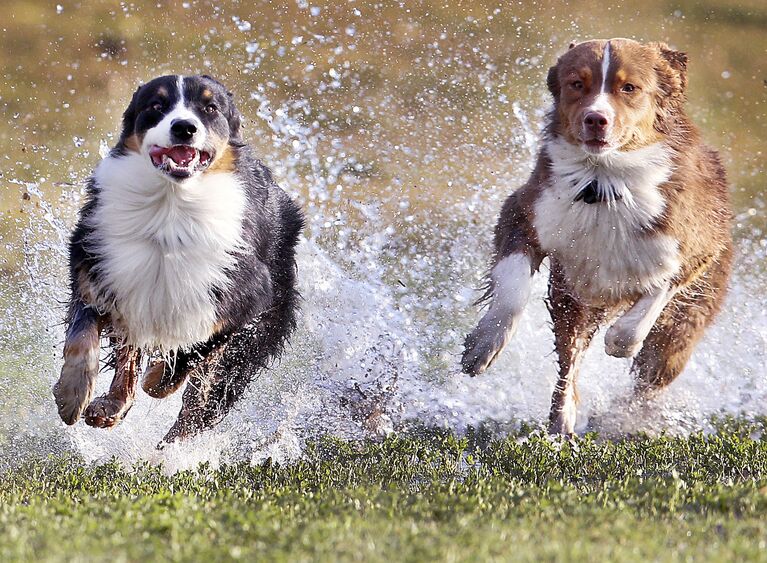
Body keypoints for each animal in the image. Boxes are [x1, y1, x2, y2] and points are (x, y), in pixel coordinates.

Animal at [50, 76, 304, 446]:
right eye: (156, 105)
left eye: (210, 108)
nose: (184, 127)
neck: (170, 208)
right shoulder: (98, 268)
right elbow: (82, 337)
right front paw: (71, 396)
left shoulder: (245, 298)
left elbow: (194, 350)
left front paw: (158, 379)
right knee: (129, 359)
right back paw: (108, 408)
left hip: (253, 338)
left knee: (200, 405)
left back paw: (166, 446)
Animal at [460, 38, 736, 436]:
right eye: (577, 83)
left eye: (629, 88)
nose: (596, 119)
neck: (602, 181)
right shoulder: (526, 213)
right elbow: (512, 289)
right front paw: (483, 346)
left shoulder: (694, 247)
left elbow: (649, 301)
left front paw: (619, 338)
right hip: (568, 299)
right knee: (569, 361)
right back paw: (563, 420)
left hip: (681, 330)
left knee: (650, 375)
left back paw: (620, 418)